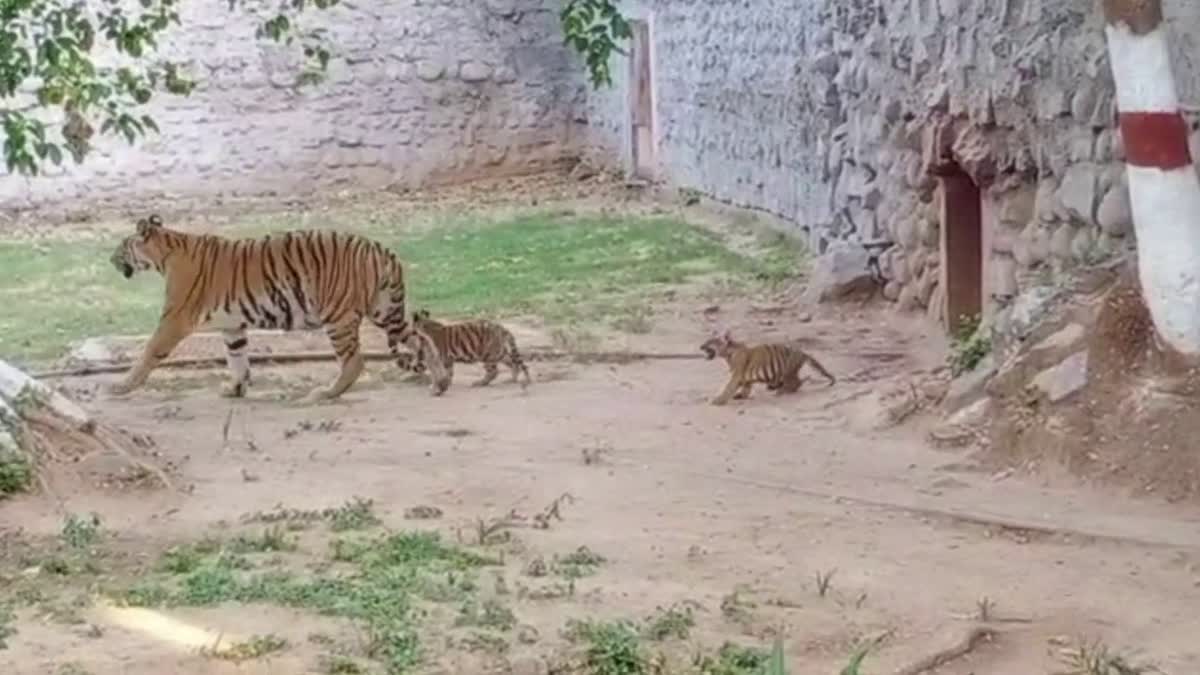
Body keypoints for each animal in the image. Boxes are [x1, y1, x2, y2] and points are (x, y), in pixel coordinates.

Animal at [104, 212, 446, 396]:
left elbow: (150, 351)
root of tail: (382, 249)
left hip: (338, 315)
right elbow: (237, 358)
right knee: (421, 338)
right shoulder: (232, 325)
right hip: (385, 310)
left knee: (354, 362)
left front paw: (123, 385)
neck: (166, 250)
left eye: (122, 245)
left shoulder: (174, 317)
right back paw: (440, 381)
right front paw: (235, 390)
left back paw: (325, 394)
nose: (109, 259)